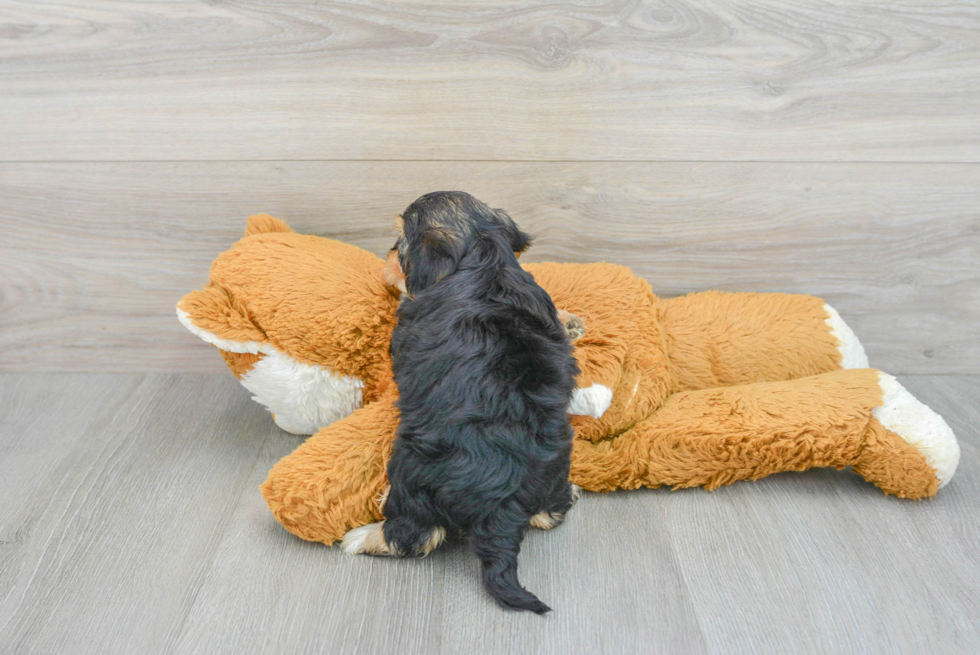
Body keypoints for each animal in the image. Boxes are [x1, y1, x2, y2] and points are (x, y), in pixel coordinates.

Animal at [340, 191, 580, 616]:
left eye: (400, 243)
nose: (386, 255)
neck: (484, 256)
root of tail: (502, 502)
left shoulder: (405, 328)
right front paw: (569, 322)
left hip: (412, 470)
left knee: (417, 533)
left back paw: (365, 535)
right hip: (553, 466)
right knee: (549, 515)